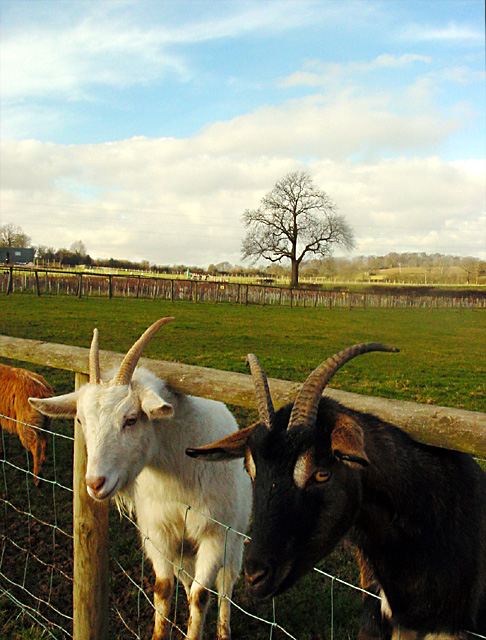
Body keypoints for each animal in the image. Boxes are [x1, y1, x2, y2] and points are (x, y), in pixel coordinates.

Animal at [29, 320, 251, 640]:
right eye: (80, 420)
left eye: (131, 419)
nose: (95, 483)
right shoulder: (158, 533)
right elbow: (163, 588)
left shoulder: (215, 534)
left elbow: (201, 596)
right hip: (183, 551)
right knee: (186, 582)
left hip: (234, 539)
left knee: (225, 587)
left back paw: (224, 630)